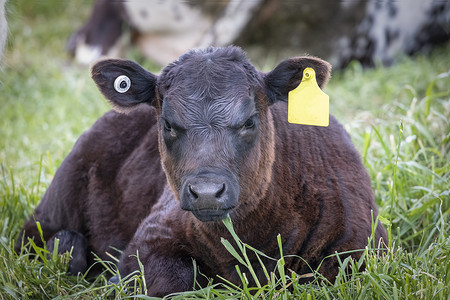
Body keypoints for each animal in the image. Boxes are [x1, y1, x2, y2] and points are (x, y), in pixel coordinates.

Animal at [18, 46, 386, 296]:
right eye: (167, 123)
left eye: (249, 121)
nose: (207, 193)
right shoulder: (149, 238)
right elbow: (175, 280)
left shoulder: (359, 250)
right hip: (56, 203)